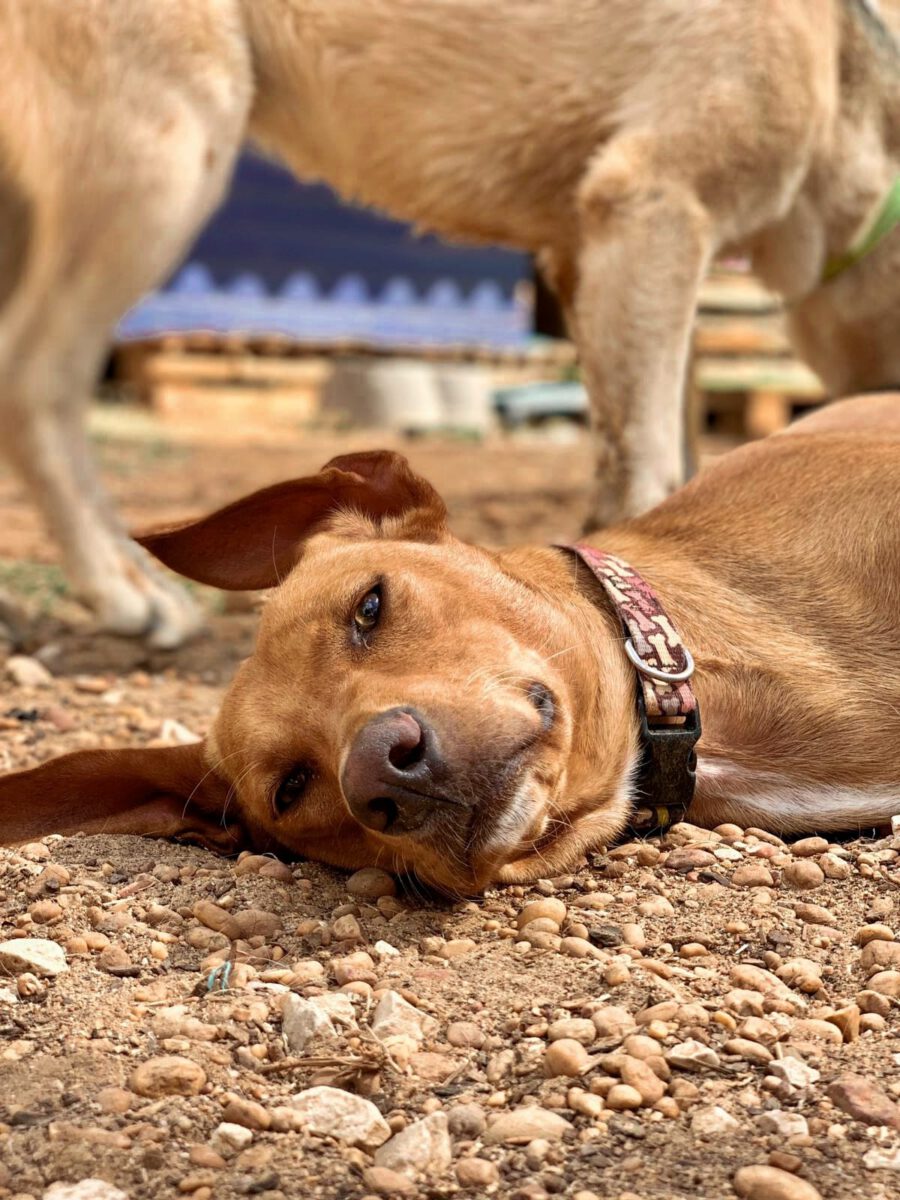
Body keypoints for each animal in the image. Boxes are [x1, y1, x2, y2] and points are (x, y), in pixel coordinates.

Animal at [2, 1, 900, 648]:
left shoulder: (594, 257)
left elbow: (660, 455)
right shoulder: (652, 207)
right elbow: (650, 461)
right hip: (162, 151)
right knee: (36, 380)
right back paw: (125, 590)